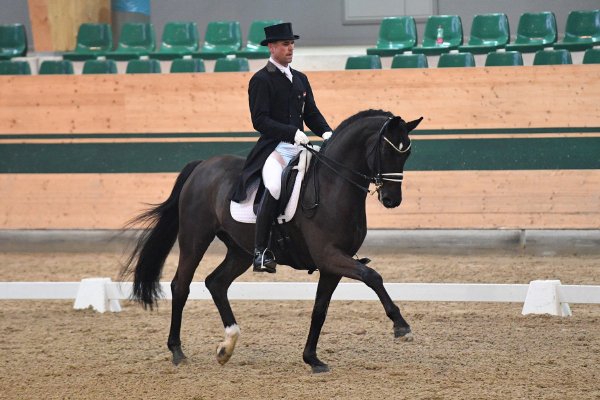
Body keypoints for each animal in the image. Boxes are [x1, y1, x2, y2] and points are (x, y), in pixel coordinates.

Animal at [122, 108, 422, 372]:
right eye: (387, 150)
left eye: (407, 153)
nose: (391, 200)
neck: (333, 185)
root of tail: (202, 166)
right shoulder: (329, 255)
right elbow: (373, 276)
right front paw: (401, 326)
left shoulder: (332, 265)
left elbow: (320, 310)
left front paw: (312, 359)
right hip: (195, 238)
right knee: (181, 286)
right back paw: (177, 351)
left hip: (240, 251)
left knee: (216, 283)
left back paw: (226, 347)